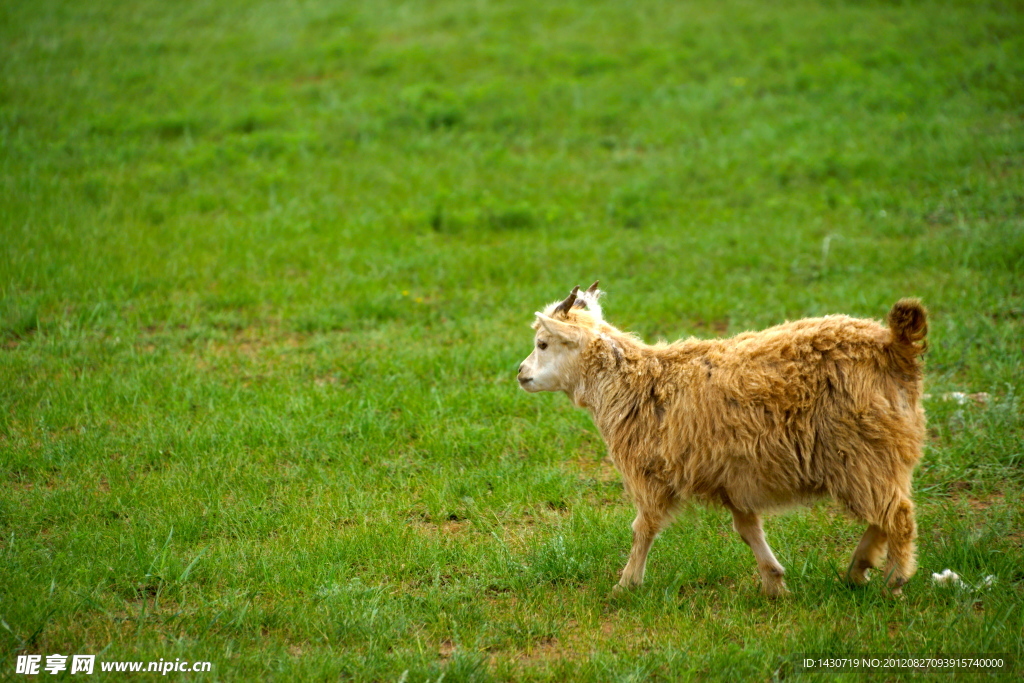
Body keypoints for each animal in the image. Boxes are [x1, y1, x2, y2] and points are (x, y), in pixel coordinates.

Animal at [520, 282, 929, 598]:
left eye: (542, 343)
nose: (521, 373)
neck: (635, 384)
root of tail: (896, 346)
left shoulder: (651, 473)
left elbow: (643, 529)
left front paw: (626, 585)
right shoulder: (732, 477)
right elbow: (748, 530)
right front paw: (774, 583)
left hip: (864, 451)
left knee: (898, 516)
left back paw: (893, 580)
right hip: (873, 457)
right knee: (886, 514)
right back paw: (858, 570)